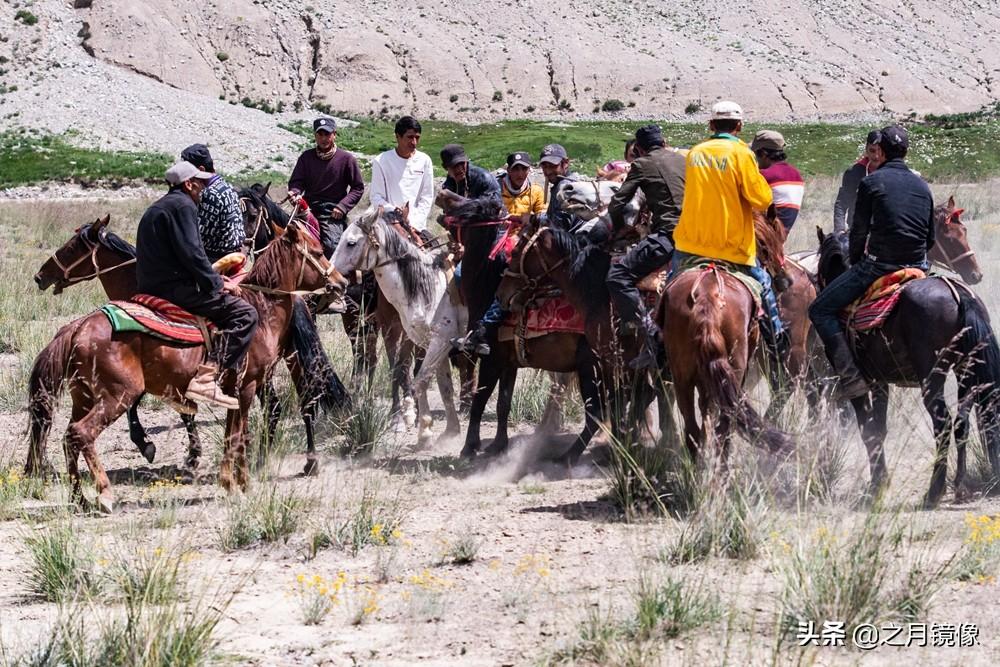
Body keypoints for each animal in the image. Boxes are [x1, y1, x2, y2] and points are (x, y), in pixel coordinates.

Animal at [27, 220, 348, 512]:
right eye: (318, 253)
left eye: (72, 247)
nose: (341, 282)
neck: (262, 308)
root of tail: (77, 327)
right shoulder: (243, 388)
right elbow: (234, 434)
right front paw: (238, 482)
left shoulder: (233, 390)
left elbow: (232, 434)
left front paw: (229, 480)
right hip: (116, 394)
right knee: (79, 434)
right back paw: (103, 493)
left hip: (85, 397)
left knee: (70, 438)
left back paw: (80, 498)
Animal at [332, 206, 464, 440]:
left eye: (351, 243)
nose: (331, 274)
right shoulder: (409, 335)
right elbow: (433, 380)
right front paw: (405, 418)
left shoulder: (435, 339)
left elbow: (417, 375)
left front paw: (416, 421)